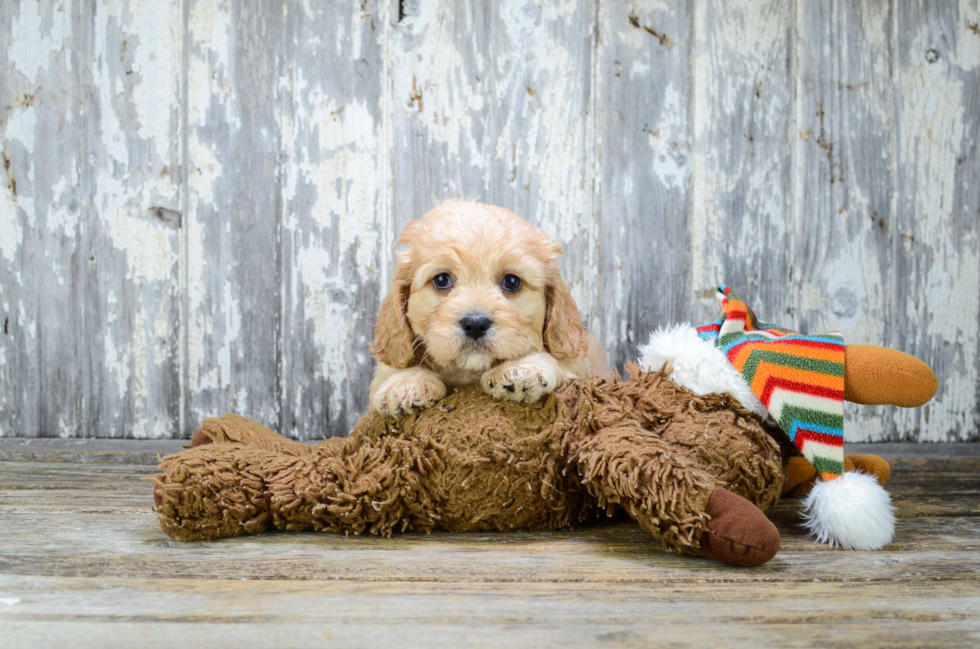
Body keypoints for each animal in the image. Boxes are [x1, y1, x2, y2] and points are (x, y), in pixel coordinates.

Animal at [366, 200, 600, 418]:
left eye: (512, 281)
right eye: (441, 280)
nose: (475, 324)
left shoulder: (580, 366)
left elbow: (560, 363)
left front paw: (523, 368)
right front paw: (404, 383)